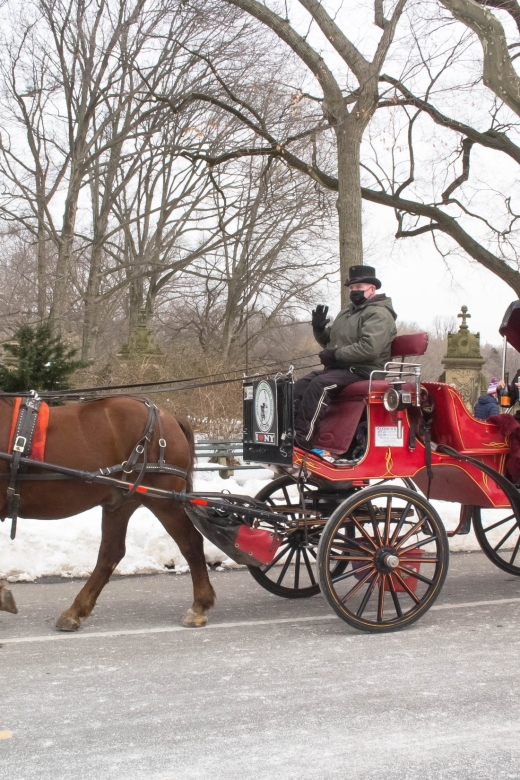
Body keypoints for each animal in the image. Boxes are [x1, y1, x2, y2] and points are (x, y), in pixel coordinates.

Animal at [0, 400, 215, 632]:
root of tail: (168, 416)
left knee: (190, 542)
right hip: (121, 503)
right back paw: (75, 611)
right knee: (111, 552)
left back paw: (199, 606)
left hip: (163, 500)